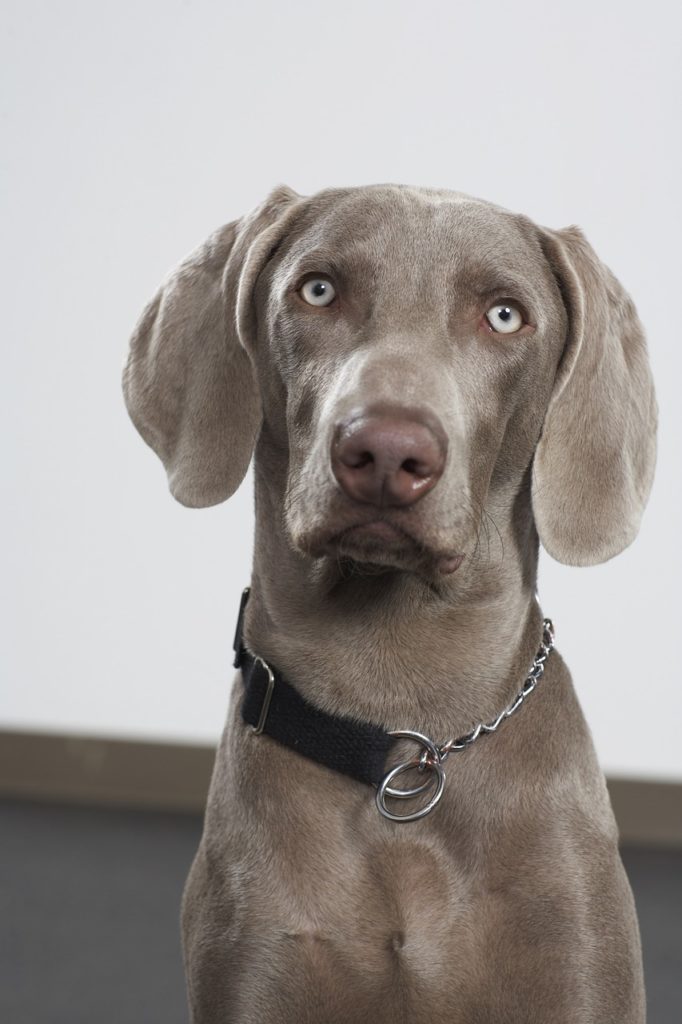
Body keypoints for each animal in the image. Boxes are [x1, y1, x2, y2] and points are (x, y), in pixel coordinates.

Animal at [120, 186, 655, 1024]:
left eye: (505, 315)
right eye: (317, 290)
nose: (387, 451)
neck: (403, 731)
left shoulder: (575, 970)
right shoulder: (257, 967)